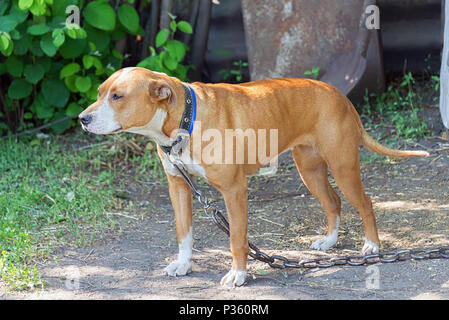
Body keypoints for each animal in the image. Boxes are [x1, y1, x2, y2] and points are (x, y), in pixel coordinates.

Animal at [79, 67, 428, 288]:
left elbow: (236, 239)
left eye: (118, 96)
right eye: (99, 93)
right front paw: (184, 264)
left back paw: (371, 246)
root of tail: (338, 93)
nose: (82, 118)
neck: (184, 120)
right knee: (333, 202)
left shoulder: (234, 190)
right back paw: (329, 241)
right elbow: (183, 234)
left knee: (365, 202)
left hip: (343, 167)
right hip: (310, 170)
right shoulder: (178, 188)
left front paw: (239, 275)